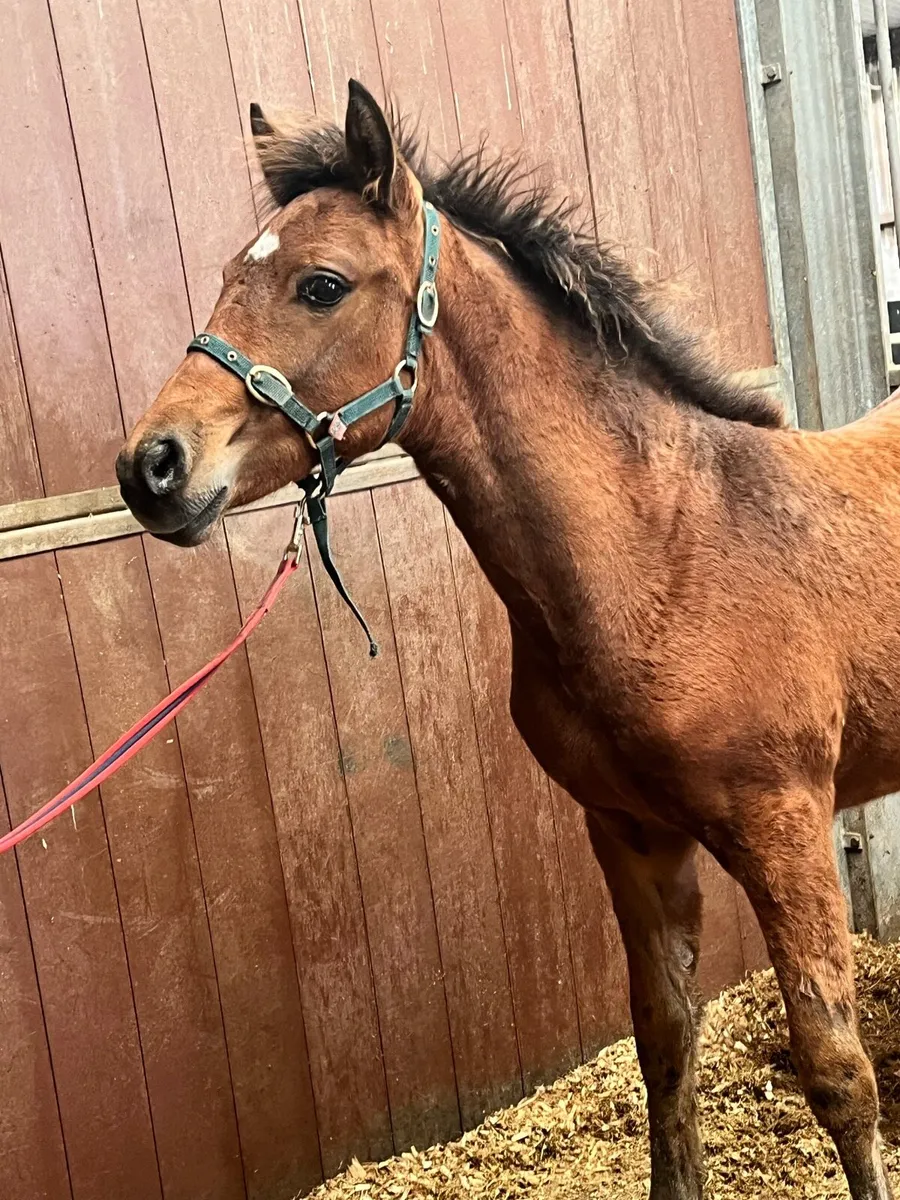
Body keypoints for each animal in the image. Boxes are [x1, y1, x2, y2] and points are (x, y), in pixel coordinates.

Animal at [115, 80, 899, 1200]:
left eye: (321, 285)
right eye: (227, 276)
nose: (152, 469)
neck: (665, 554)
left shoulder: (784, 823)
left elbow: (837, 1071)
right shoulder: (627, 832)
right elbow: (666, 1044)